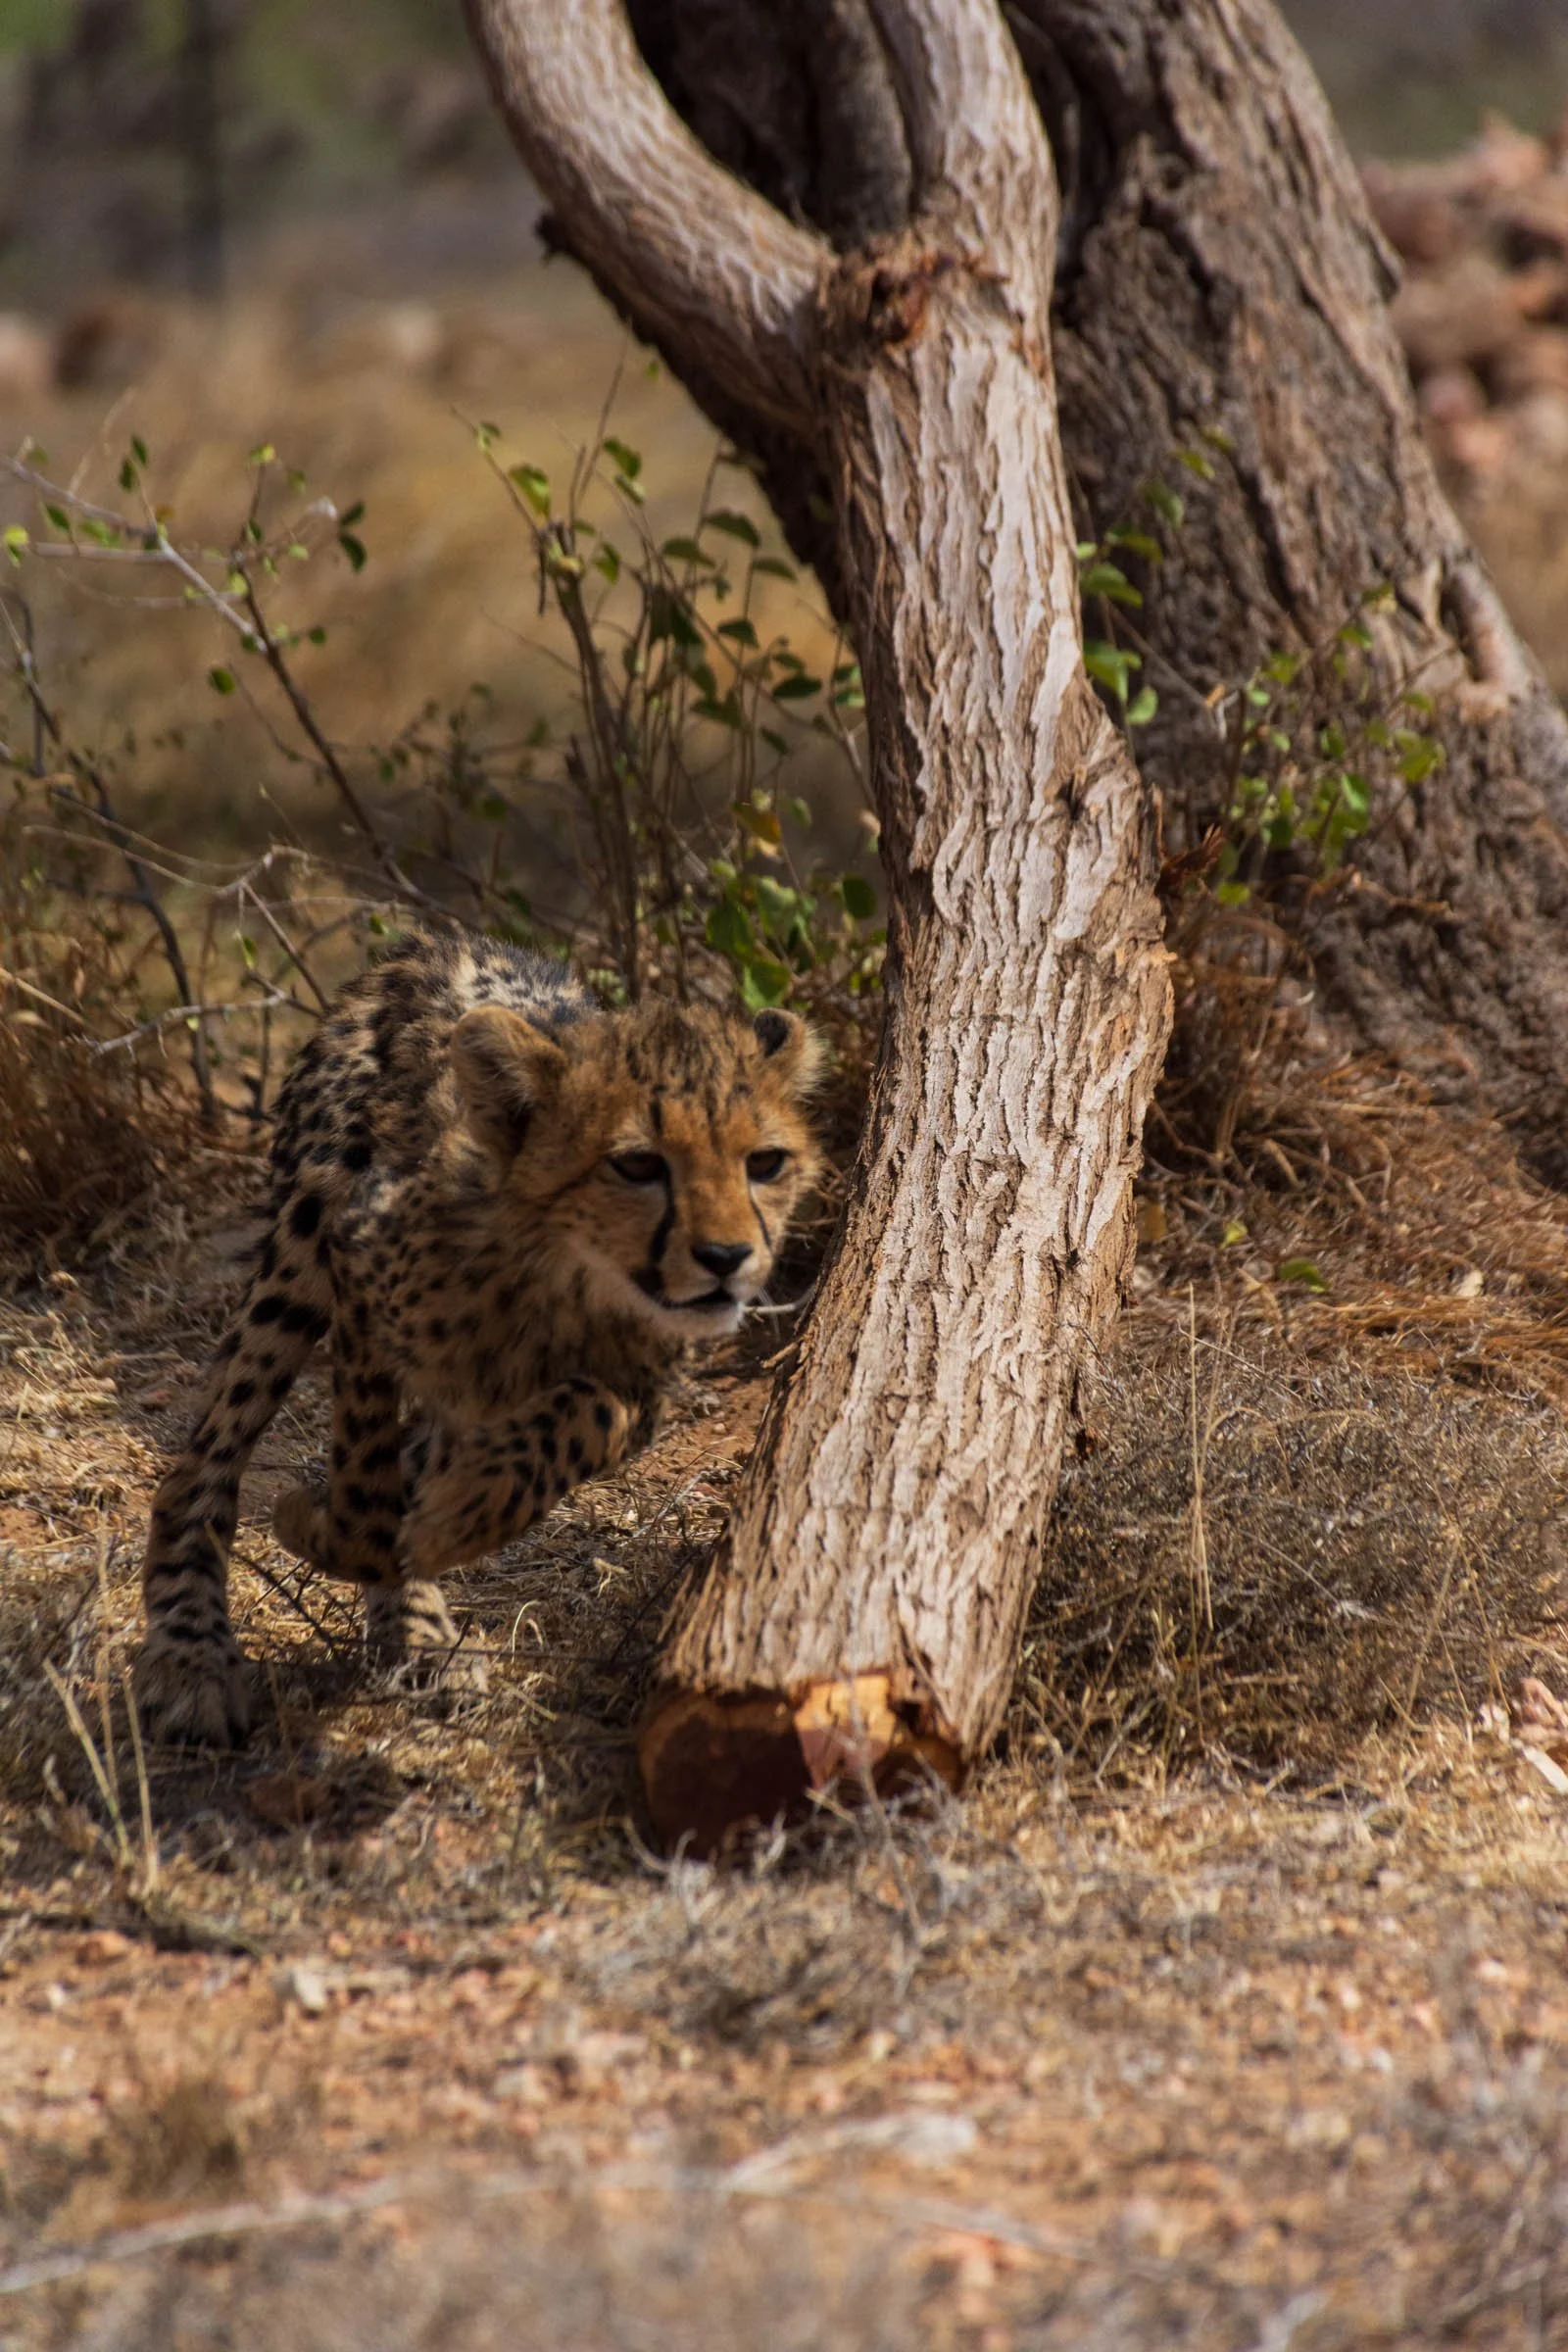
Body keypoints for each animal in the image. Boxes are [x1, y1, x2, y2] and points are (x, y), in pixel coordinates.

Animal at [135, 925, 823, 1746]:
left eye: (766, 1162)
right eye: (638, 1164)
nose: (727, 1258)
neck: (566, 1274)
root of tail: (442, 941)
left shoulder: (640, 1385)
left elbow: (587, 1419)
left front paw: (453, 1523)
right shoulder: (356, 1267)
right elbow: (366, 1474)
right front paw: (357, 1541)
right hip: (297, 1258)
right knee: (202, 1462)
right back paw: (195, 1654)